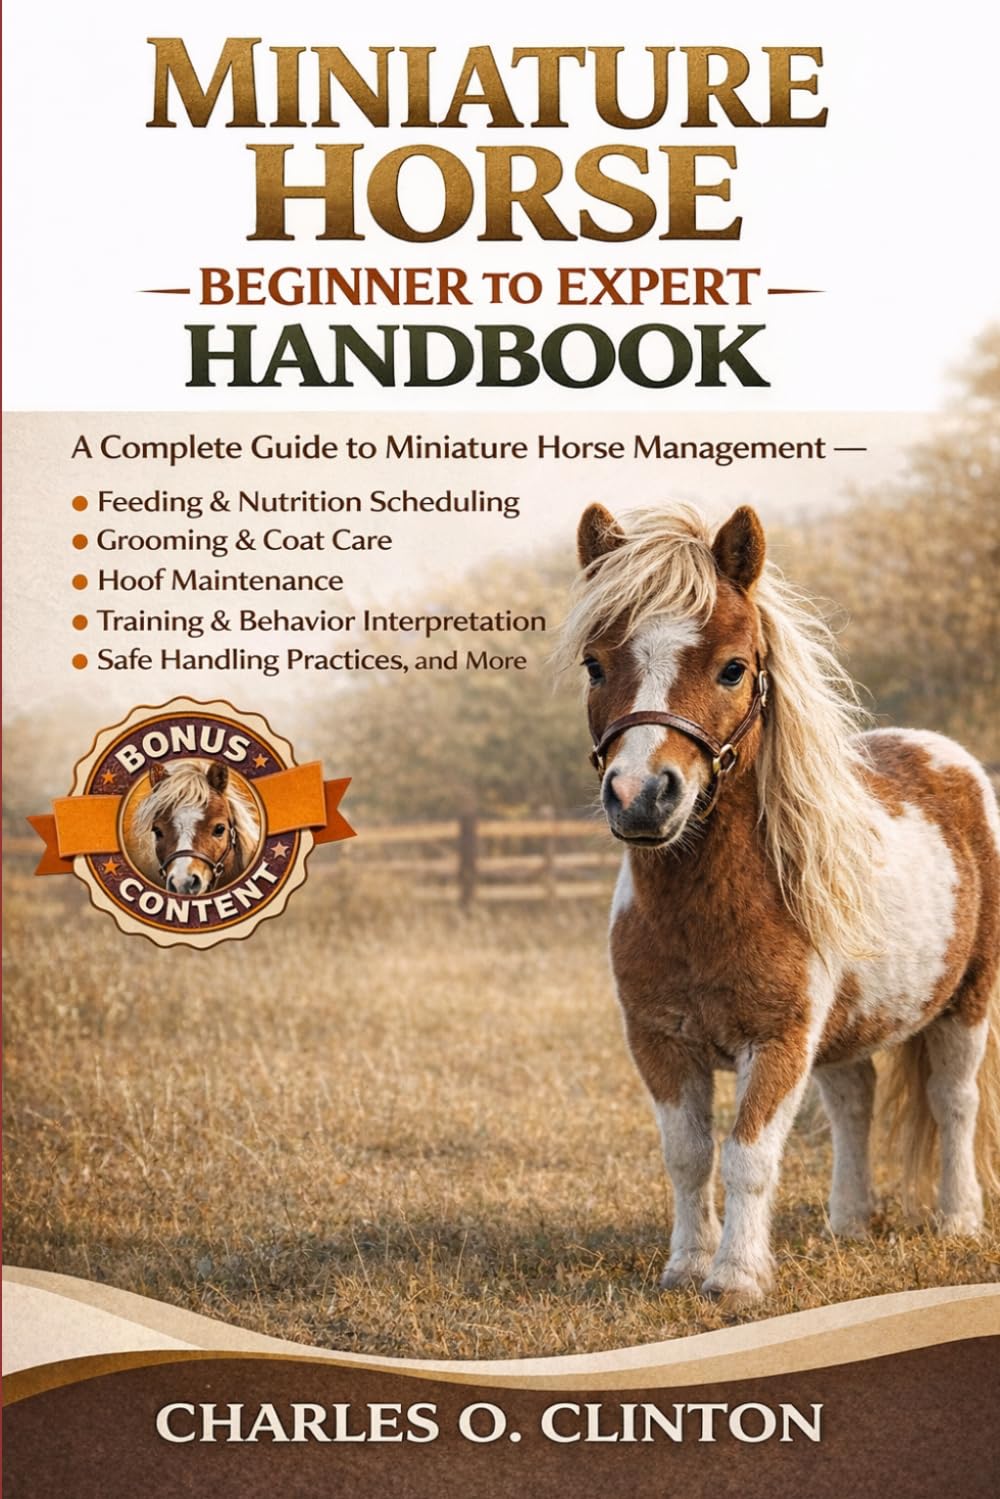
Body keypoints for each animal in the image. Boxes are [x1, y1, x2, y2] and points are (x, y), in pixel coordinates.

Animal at [558, 501, 1000, 1309]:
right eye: (595, 664)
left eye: (733, 666)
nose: (642, 796)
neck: (707, 912)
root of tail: (945, 757)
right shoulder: (660, 1043)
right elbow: (688, 1155)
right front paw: (685, 1267)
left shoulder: (778, 1042)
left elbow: (747, 1155)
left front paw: (735, 1278)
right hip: (846, 1030)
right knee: (855, 1100)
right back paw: (849, 1223)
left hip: (967, 1003)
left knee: (954, 1100)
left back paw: (958, 1221)